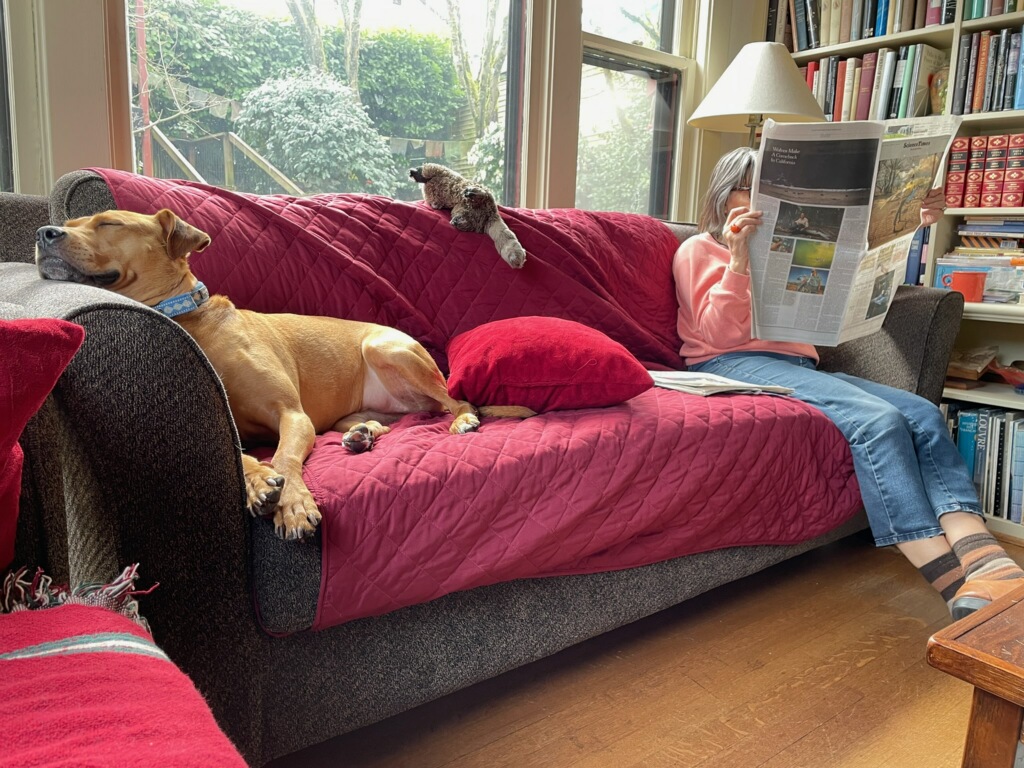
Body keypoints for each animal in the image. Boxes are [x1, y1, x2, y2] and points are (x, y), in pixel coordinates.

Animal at [34, 205, 528, 540]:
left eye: (109, 223)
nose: (43, 232)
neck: (190, 321)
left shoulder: (292, 414)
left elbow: (286, 460)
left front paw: (291, 503)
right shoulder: (232, 427)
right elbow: (246, 456)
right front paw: (257, 483)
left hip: (387, 349)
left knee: (455, 401)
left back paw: (463, 420)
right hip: (363, 407)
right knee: (398, 420)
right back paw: (362, 435)